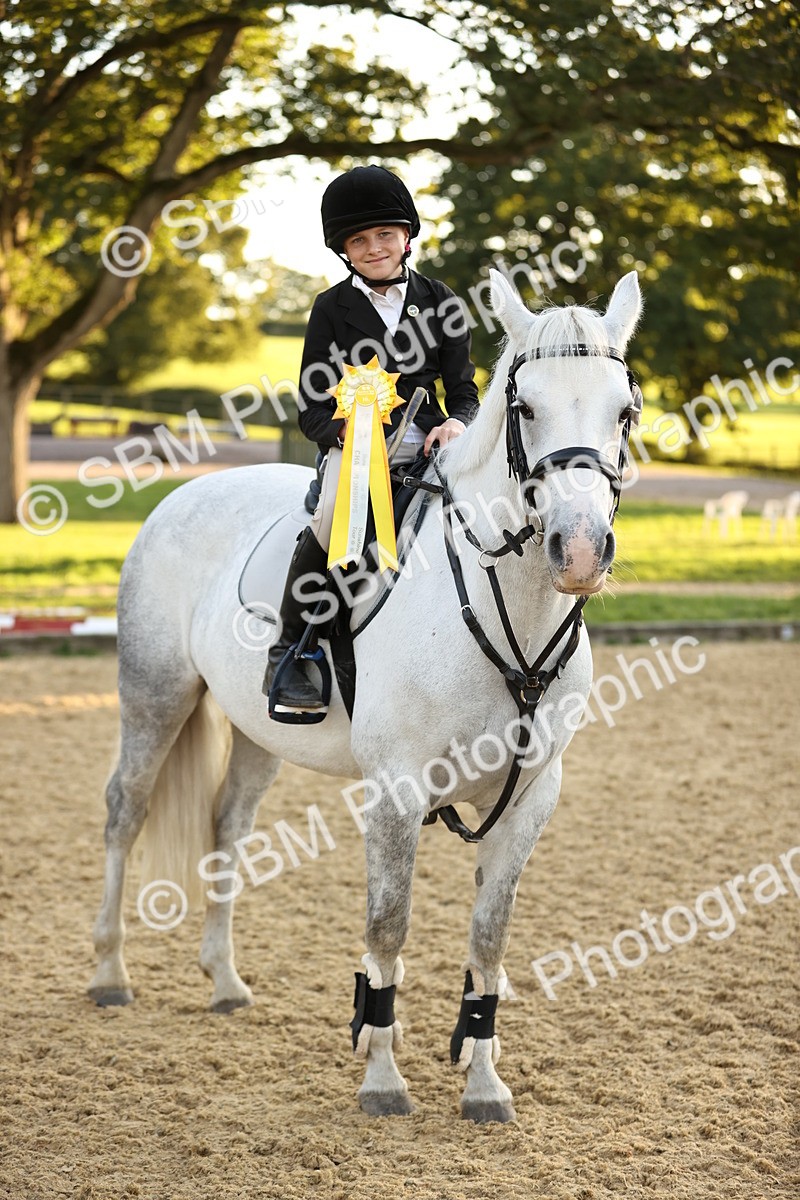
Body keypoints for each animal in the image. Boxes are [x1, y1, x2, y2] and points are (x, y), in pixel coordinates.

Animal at [89, 268, 643, 1123]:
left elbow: (489, 939)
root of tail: (187, 492)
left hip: (259, 732)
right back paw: (111, 974)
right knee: (127, 810)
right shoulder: (395, 790)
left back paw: (225, 981)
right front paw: (382, 1077)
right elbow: (388, 927)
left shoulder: (531, 797)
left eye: (625, 410)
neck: (502, 606)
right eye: (525, 407)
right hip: (156, 695)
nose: (579, 550)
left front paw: (483, 1084)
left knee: (227, 824)